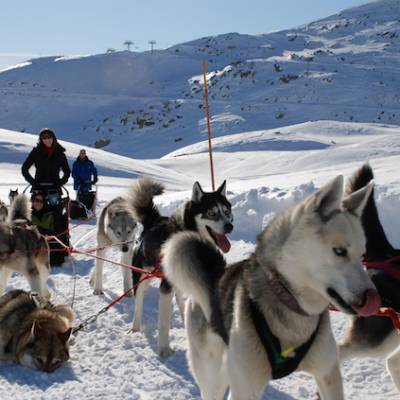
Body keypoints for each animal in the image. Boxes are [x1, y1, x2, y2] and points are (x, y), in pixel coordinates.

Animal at [126, 178, 233, 356]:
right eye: (212, 213)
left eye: (227, 212)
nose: (229, 226)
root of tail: (152, 221)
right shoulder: (165, 288)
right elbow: (163, 323)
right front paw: (164, 349)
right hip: (142, 278)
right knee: (138, 303)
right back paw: (135, 328)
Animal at [163, 175, 382, 400]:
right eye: (339, 251)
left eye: (362, 255)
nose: (374, 298)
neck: (292, 305)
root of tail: (215, 274)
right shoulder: (246, 388)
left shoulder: (328, 374)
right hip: (212, 375)